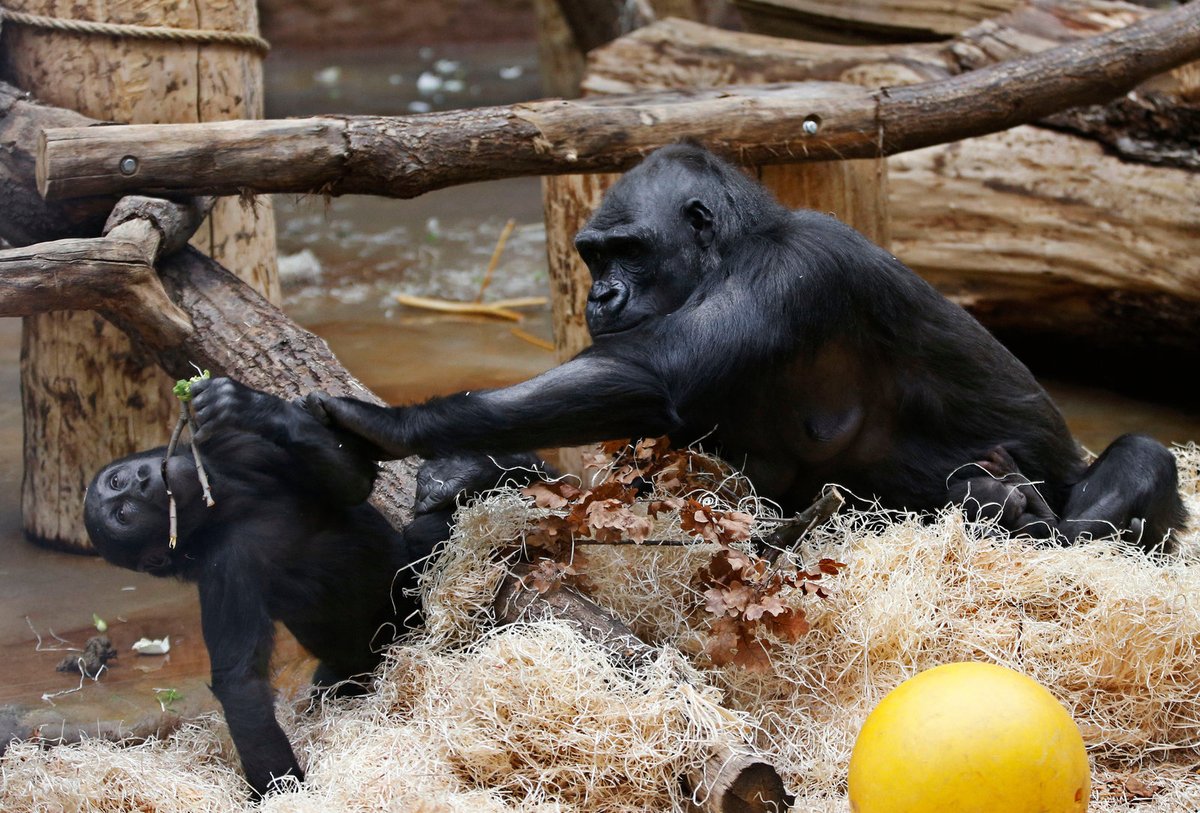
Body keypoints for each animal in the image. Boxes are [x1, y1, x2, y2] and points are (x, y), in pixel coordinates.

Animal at [84, 378, 535, 801]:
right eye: (122, 513)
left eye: (119, 481)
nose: (142, 481)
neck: (226, 507)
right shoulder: (223, 570)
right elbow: (240, 683)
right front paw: (283, 792)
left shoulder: (236, 451)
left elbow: (352, 476)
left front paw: (248, 405)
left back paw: (481, 470)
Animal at [304, 143, 1185, 556]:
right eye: (593, 256)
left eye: (629, 251)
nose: (601, 295)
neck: (730, 253)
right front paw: (473, 470)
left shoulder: (793, 275)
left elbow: (653, 374)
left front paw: (393, 425)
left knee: (1139, 458)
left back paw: (1033, 511)